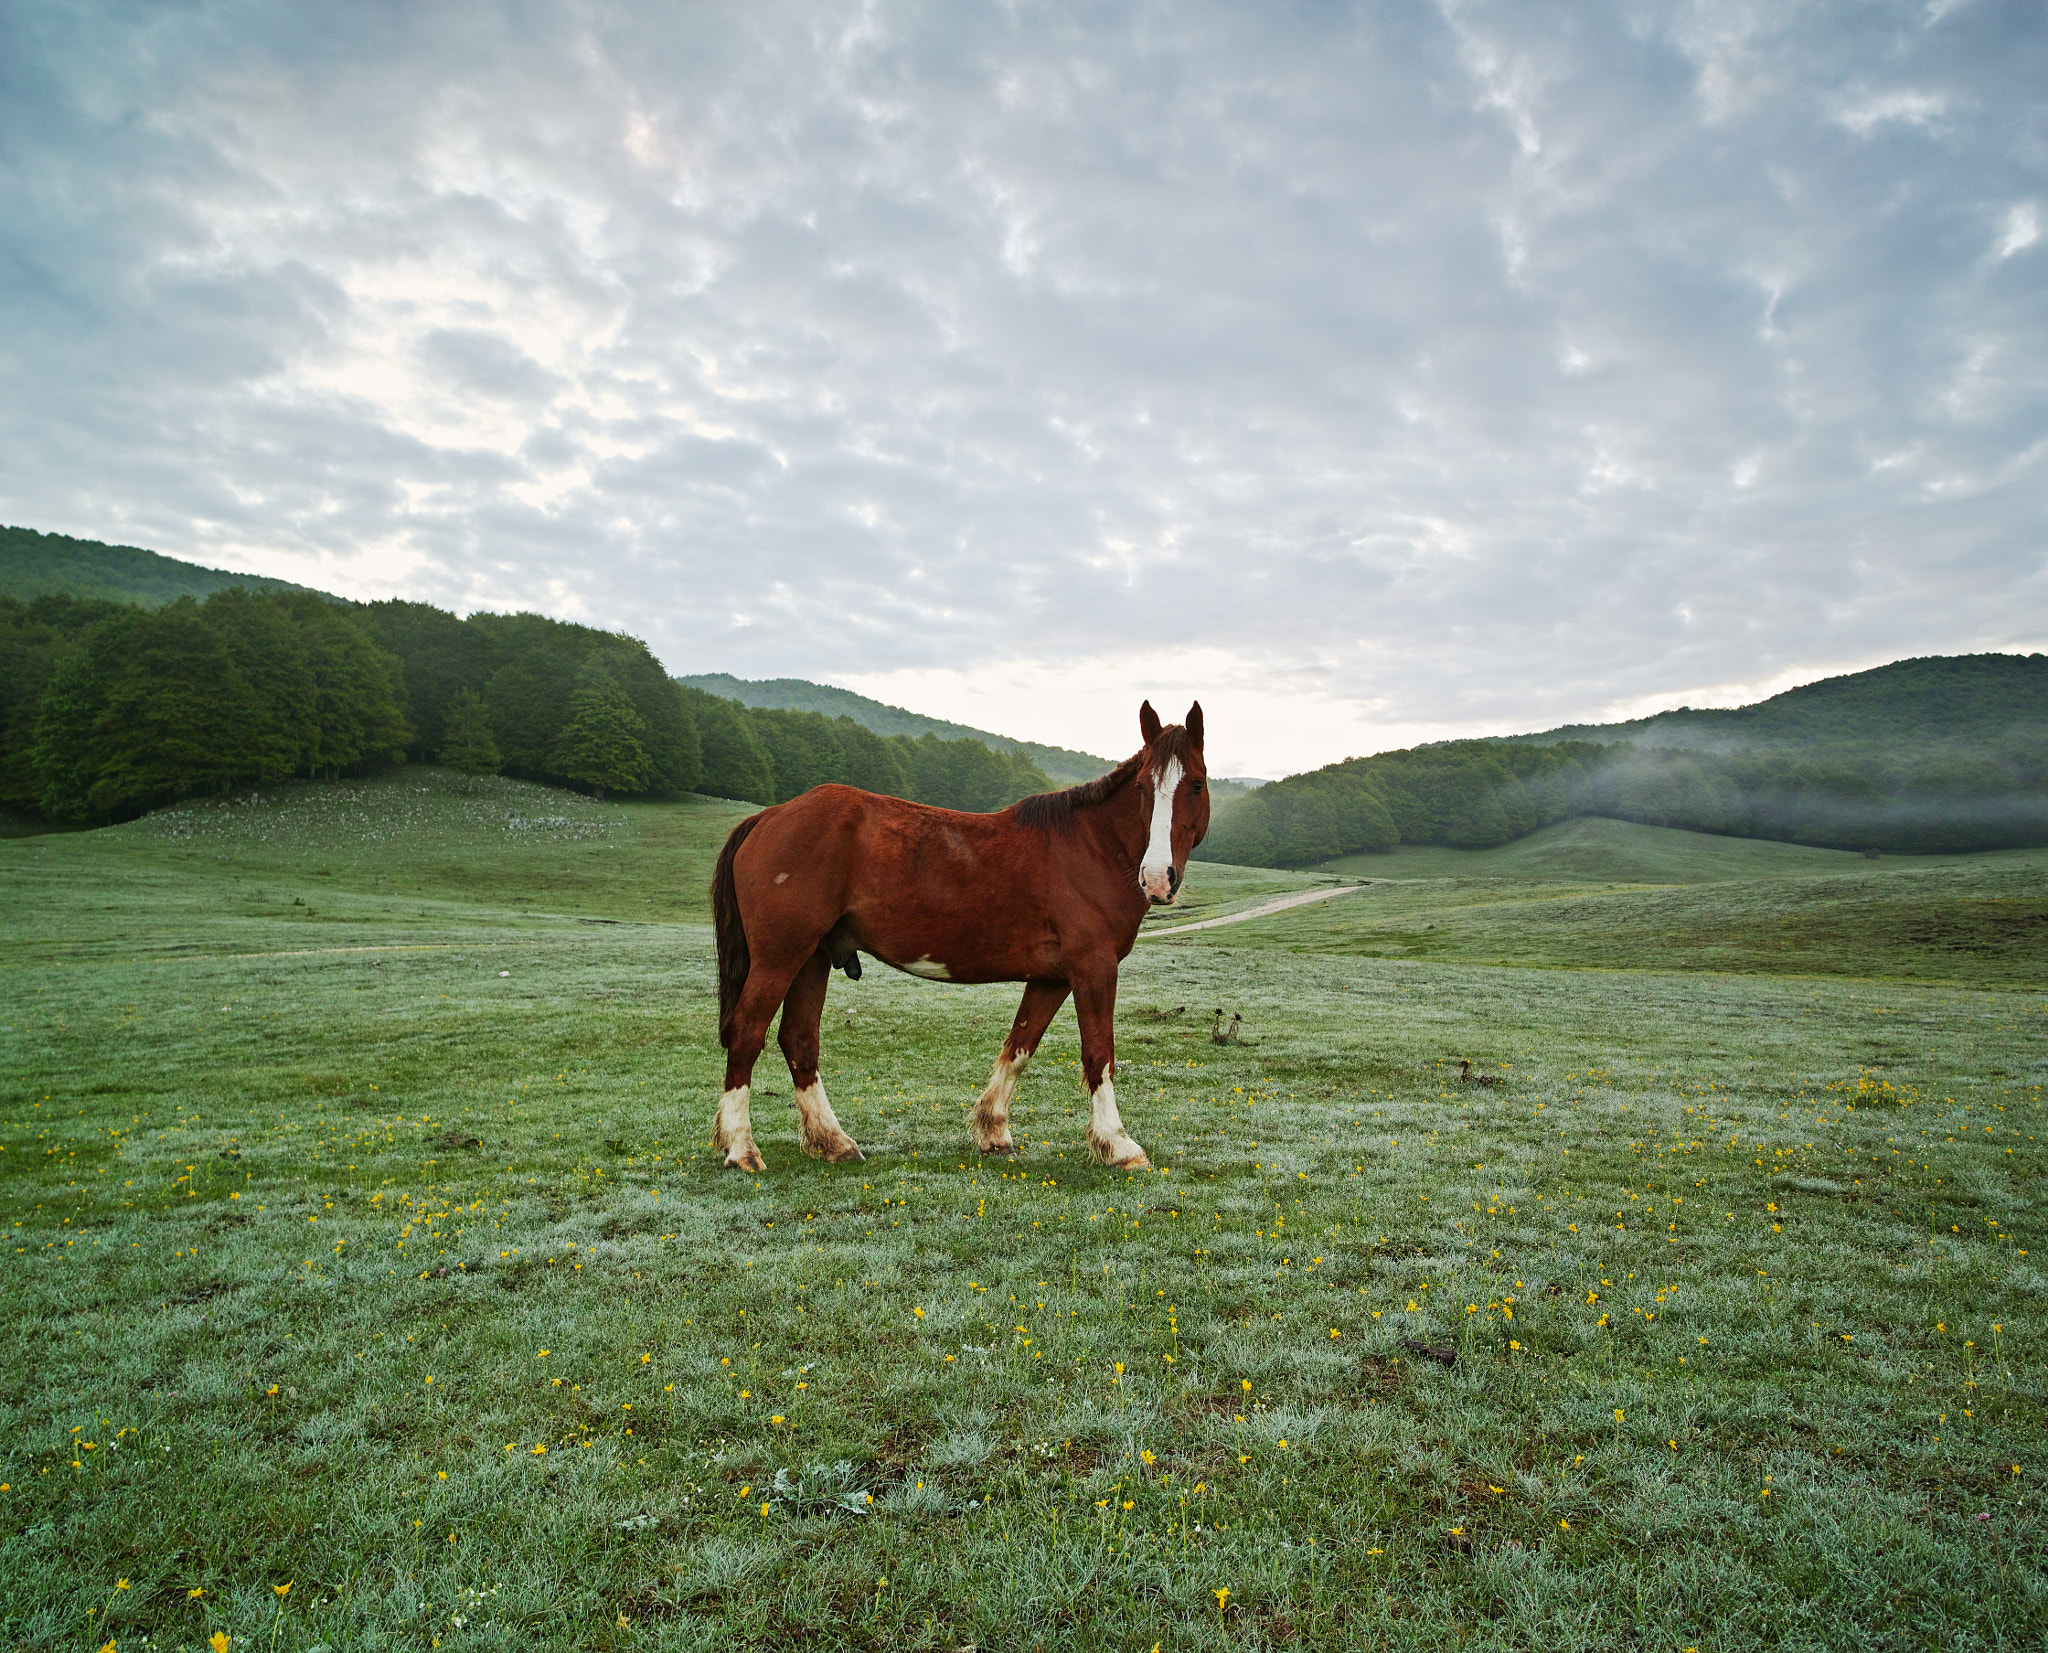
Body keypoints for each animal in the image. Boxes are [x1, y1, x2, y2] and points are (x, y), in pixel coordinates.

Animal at [712, 696, 1204, 1179]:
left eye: (1196, 785)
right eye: (1142, 787)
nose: (1157, 878)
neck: (1093, 847)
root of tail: (770, 816)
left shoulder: (1052, 978)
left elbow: (1020, 1046)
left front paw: (993, 1131)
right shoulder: (1093, 968)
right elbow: (1099, 1054)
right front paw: (1118, 1145)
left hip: (811, 957)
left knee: (799, 1040)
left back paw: (833, 1142)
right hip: (780, 958)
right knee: (747, 1032)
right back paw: (741, 1148)